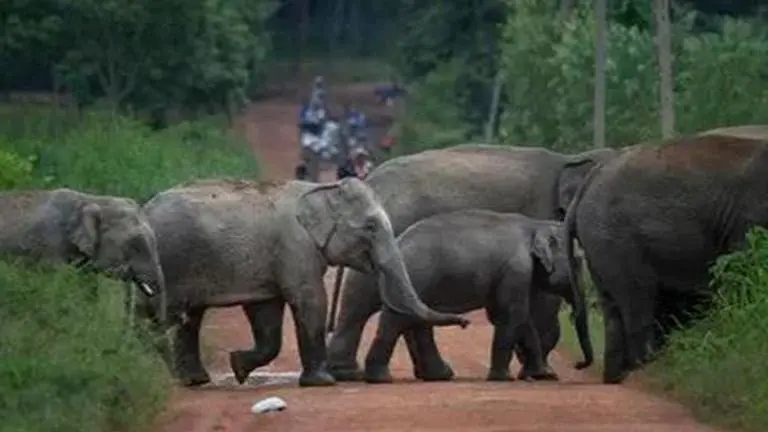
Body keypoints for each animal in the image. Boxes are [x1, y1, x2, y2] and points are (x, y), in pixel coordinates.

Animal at [139, 177, 469, 388]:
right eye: (370, 227)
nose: (465, 322)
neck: (321, 191)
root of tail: (145, 209)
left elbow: (267, 315)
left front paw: (238, 366)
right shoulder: (295, 246)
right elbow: (310, 300)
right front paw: (322, 383)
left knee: (187, 318)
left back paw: (194, 379)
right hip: (170, 261)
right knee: (166, 316)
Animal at [361, 209, 594, 384]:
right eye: (577, 262)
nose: (578, 364)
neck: (536, 225)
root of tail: (397, 242)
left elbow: (518, 316)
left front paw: (543, 375)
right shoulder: (516, 270)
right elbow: (512, 314)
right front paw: (503, 378)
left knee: (413, 319)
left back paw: (437, 375)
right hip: (417, 274)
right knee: (399, 319)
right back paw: (382, 379)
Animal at [564, 132, 768, 384]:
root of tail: (586, 185)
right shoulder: (751, 218)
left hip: (600, 244)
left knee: (613, 308)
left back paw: (618, 375)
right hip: (617, 241)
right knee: (638, 300)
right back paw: (647, 367)